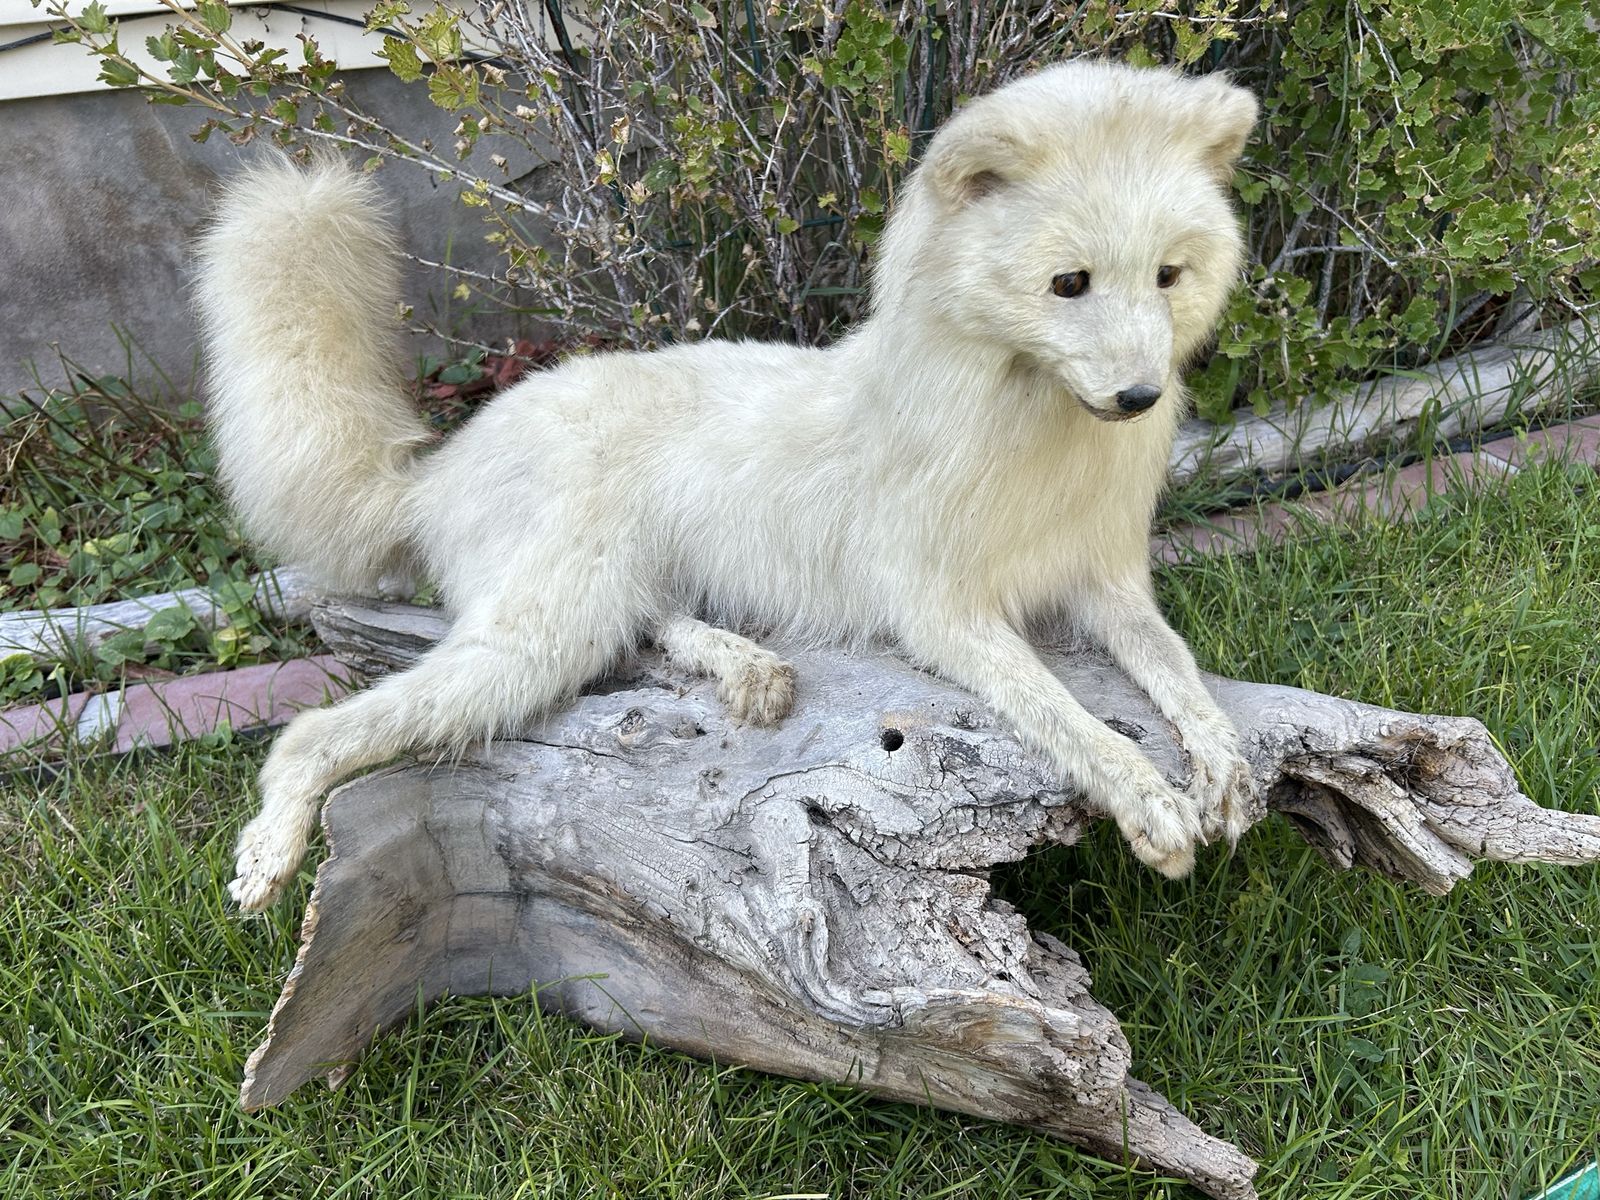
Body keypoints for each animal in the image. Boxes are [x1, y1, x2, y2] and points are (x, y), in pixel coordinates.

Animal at [196, 59, 1260, 910]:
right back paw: (265, 862)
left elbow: (1179, 671)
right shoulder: (945, 616)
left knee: (652, 619)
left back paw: (746, 665)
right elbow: (1063, 714)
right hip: (539, 636)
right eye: (1068, 284)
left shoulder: (1106, 583)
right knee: (309, 735)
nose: (1139, 396)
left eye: (1168, 276)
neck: (1030, 424)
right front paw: (1149, 801)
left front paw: (1224, 769)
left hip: (586, 608)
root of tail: (440, 466)